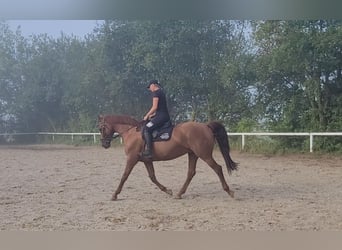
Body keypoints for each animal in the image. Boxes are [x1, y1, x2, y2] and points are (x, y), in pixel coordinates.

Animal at [98, 114, 238, 200]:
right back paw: (179, 193)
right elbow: (152, 177)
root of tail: (205, 126)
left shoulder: (132, 159)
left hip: (204, 155)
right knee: (191, 172)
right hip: (193, 154)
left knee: (218, 168)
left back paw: (229, 191)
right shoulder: (147, 160)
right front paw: (167, 190)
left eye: (101, 128)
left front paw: (115, 195)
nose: (104, 144)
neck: (131, 132)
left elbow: (124, 176)